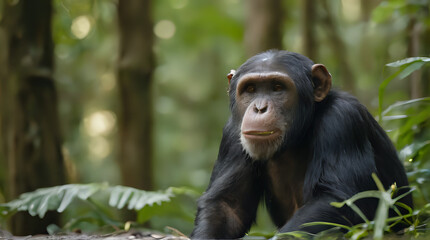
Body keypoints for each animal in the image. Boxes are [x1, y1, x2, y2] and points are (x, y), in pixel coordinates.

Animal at [190, 50, 412, 238]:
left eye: (277, 88)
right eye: (251, 89)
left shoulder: (343, 118)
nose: (259, 108)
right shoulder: (232, 134)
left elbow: (338, 200)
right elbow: (227, 205)